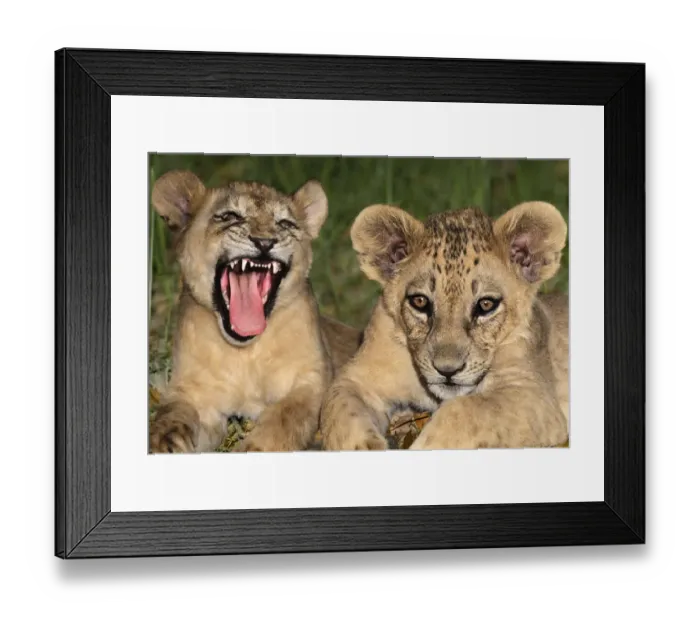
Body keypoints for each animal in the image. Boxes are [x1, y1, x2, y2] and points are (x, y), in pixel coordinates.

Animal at [148, 170, 360, 453]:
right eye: (230, 216)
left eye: (285, 223)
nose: (265, 242)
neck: (245, 354)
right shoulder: (193, 392)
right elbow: (172, 414)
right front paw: (165, 442)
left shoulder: (311, 381)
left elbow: (285, 417)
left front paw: (254, 448)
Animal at [320, 201, 569, 451]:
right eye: (420, 302)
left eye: (486, 305)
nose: (447, 370)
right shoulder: (357, 379)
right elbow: (345, 415)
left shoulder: (535, 396)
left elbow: (465, 409)